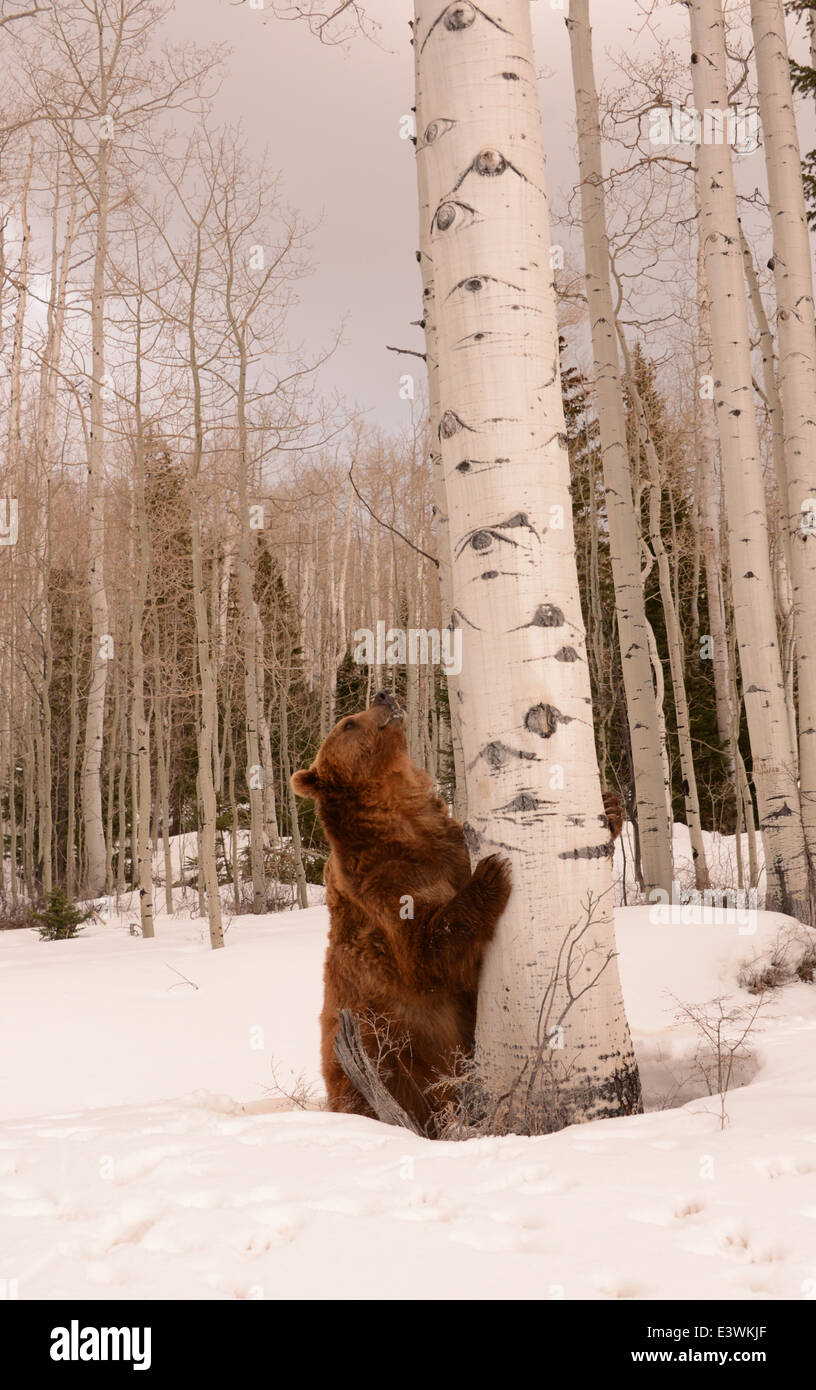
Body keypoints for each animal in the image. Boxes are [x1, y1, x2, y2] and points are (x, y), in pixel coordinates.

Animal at [291, 689, 511, 1134]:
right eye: (348, 723)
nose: (382, 693)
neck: (402, 819)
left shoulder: (446, 846)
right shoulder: (383, 888)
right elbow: (426, 951)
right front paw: (492, 872)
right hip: (380, 1059)